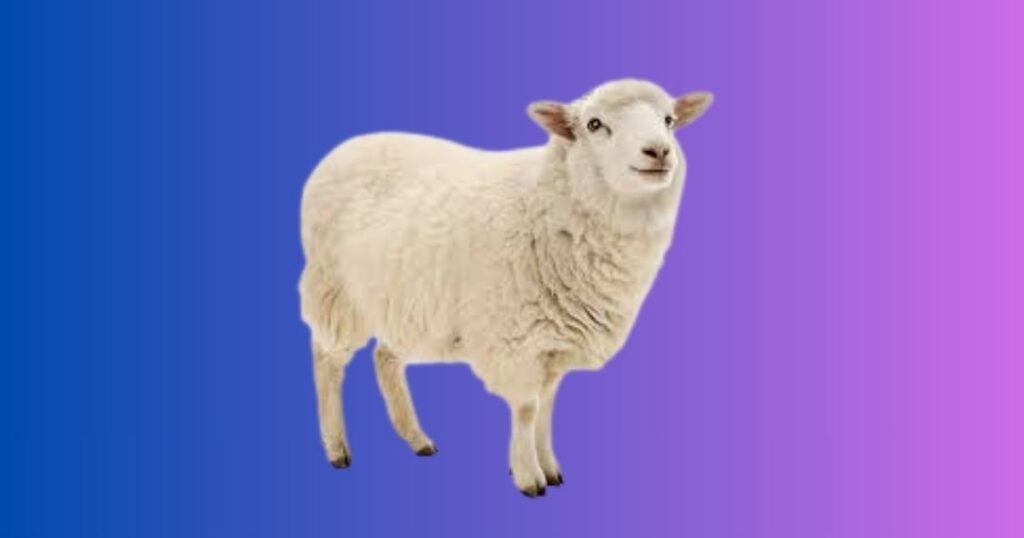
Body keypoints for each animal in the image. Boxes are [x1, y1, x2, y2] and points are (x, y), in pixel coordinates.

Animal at [298, 78, 713, 497]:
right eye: (594, 124)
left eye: (669, 120)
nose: (658, 151)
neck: (548, 204)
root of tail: (343, 148)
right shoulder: (517, 338)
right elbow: (527, 409)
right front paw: (529, 475)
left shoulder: (553, 342)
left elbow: (546, 407)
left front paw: (549, 467)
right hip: (336, 289)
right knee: (327, 361)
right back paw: (336, 447)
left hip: (406, 302)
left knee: (385, 359)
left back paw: (416, 438)